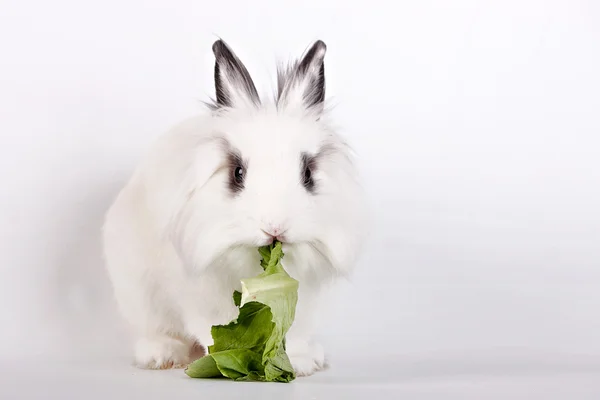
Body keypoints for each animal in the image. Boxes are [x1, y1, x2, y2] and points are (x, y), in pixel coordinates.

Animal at [102, 39, 366, 376]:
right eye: (238, 173)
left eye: (307, 174)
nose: (275, 228)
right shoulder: (199, 297)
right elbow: (210, 328)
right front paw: (224, 355)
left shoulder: (303, 297)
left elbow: (295, 332)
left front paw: (301, 363)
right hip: (138, 295)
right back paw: (164, 356)